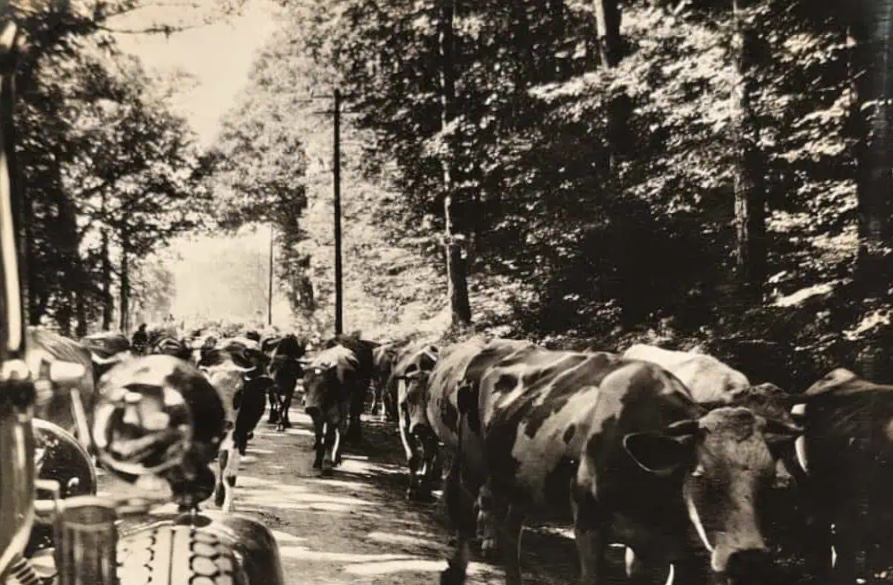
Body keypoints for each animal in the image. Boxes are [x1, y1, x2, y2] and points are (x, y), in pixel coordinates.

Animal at [302, 345, 362, 474]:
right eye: (305, 384)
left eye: (323, 386)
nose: (310, 407)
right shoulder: (316, 415)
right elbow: (319, 436)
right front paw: (317, 461)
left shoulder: (333, 414)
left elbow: (329, 438)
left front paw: (327, 464)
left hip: (346, 403)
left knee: (341, 428)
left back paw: (337, 459)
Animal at [441, 350, 801, 585]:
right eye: (700, 475)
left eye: (767, 479)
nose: (750, 558)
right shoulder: (589, 526)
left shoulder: (667, 548)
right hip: (471, 465)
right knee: (465, 516)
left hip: (522, 484)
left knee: (510, 530)